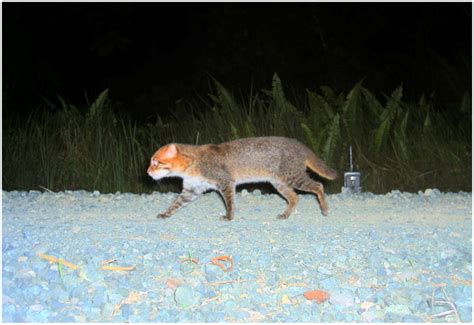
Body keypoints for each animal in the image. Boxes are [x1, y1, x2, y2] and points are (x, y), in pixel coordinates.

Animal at [148, 135, 336, 219]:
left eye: (156, 162)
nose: (148, 172)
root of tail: (300, 145)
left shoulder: (225, 182)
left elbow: (230, 202)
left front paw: (229, 216)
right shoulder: (192, 189)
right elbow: (176, 203)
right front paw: (166, 213)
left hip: (293, 177)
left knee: (318, 186)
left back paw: (325, 209)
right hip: (279, 183)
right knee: (295, 197)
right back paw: (285, 214)